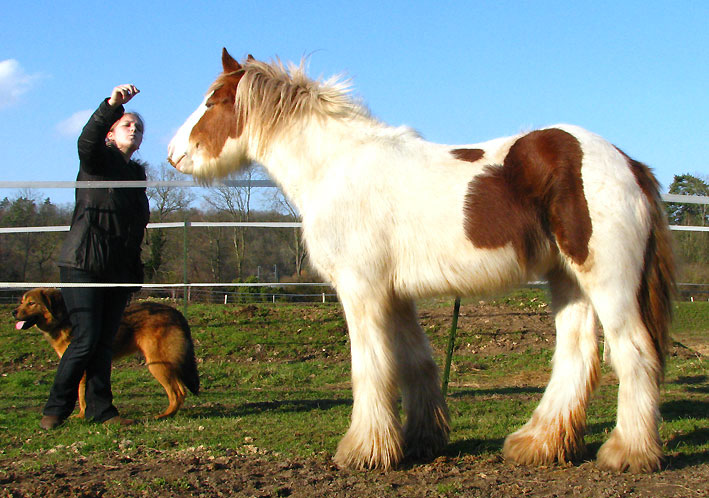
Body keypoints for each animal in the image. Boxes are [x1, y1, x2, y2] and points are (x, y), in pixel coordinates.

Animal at [13, 288, 199, 420]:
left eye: (31, 303)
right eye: (22, 302)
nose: (13, 312)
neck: (64, 317)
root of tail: (176, 313)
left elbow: (80, 395)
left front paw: (82, 416)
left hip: (158, 364)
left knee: (178, 393)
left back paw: (164, 415)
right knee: (180, 391)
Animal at [167, 48, 676, 472]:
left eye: (211, 102)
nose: (173, 154)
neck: (335, 167)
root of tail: (630, 165)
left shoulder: (361, 290)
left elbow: (370, 367)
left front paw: (363, 451)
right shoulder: (395, 295)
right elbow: (416, 365)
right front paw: (419, 441)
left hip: (608, 282)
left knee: (634, 354)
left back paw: (627, 453)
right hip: (567, 281)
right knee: (576, 357)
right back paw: (536, 444)